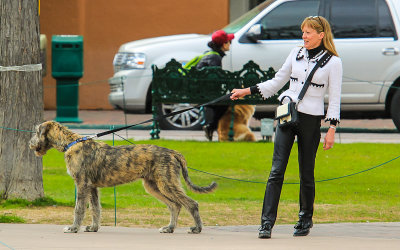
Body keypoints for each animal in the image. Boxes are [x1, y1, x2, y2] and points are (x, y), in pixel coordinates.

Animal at [28, 121, 217, 234]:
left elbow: (79, 208)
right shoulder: (92, 187)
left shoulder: (82, 184)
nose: (29, 143)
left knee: (191, 203)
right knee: (175, 205)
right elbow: (95, 208)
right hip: (153, 186)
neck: (71, 143)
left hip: (166, 183)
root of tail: (173, 152)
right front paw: (93, 228)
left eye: (36, 132)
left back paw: (197, 228)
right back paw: (169, 228)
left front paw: (74, 228)